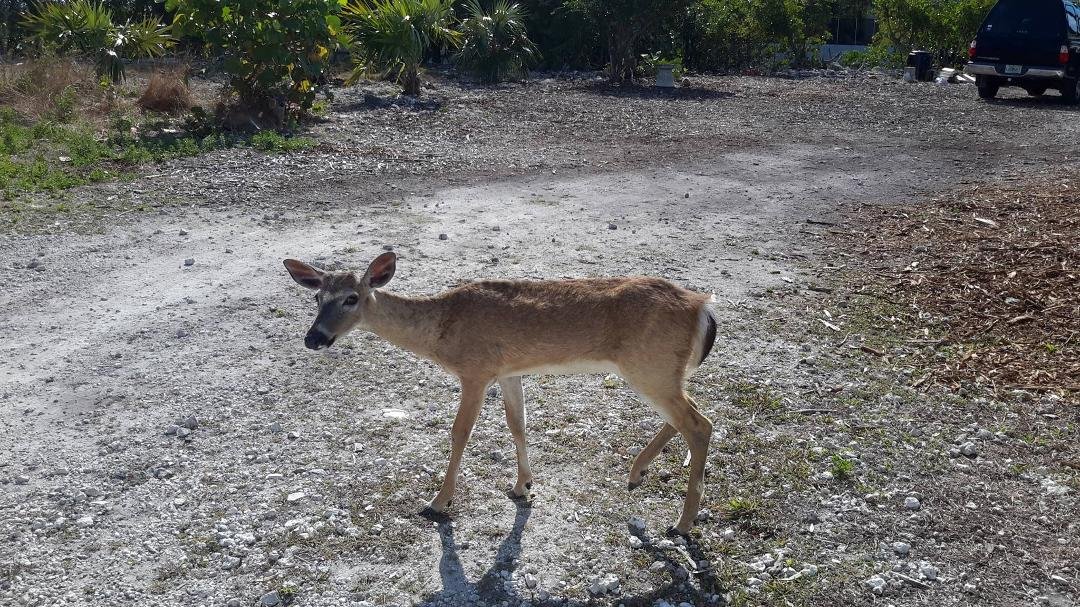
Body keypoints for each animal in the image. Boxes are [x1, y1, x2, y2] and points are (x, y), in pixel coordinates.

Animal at [283, 252, 718, 536]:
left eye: (351, 298)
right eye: (317, 297)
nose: (313, 338)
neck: (441, 329)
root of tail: (703, 306)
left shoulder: (476, 371)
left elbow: (460, 433)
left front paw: (438, 502)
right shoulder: (509, 372)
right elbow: (517, 424)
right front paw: (522, 485)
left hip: (649, 366)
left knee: (700, 424)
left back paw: (682, 523)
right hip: (660, 371)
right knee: (691, 412)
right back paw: (636, 474)